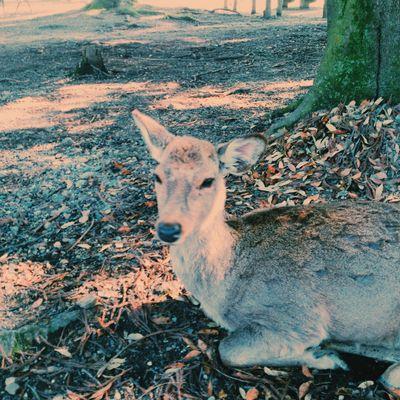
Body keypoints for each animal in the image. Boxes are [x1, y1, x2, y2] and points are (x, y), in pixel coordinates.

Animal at [133, 109, 400, 384]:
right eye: (157, 176)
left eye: (208, 180)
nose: (168, 229)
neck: (224, 286)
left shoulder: (297, 319)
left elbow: (227, 350)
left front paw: (326, 358)